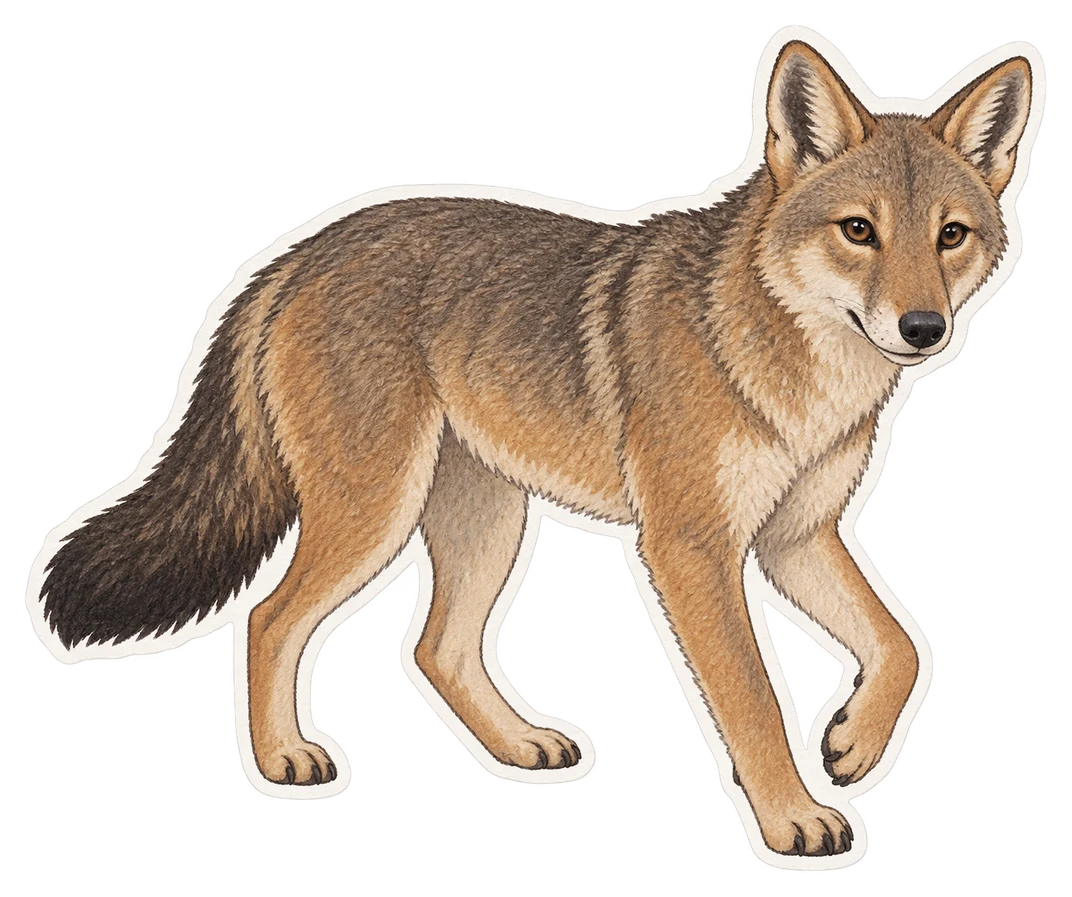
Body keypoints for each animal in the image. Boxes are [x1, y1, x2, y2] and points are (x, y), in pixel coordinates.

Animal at [30, 39, 1034, 857]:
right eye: (858, 230)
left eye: (949, 236)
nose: (921, 328)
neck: (790, 368)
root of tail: (293, 256)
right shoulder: (693, 549)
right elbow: (753, 697)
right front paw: (794, 819)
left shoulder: (796, 537)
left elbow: (902, 647)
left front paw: (853, 741)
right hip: (374, 517)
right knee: (269, 618)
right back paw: (283, 759)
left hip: (486, 520)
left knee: (432, 647)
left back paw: (518, 747)